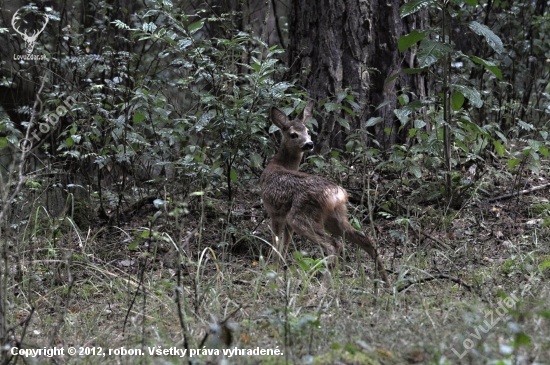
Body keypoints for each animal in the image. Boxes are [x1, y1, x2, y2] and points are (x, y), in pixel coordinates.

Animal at [260, 102, 390, 284]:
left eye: (307, 131)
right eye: (293, 134)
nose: (309, 144)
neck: (278, 164)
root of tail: (337, 194)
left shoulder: (274, 213)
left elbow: (276, 243)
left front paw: (272, 271)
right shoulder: (284, 219)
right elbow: (285, 244)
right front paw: (280, 269)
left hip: (301, 216)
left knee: (334, 245)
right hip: (334, 217)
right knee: (365, 239)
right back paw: (387, 283)